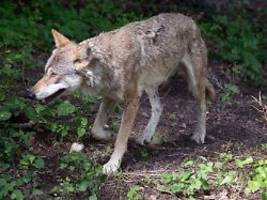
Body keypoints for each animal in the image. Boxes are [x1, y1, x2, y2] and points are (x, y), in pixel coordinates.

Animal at [28, 13, 216, 174]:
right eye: (45, 73)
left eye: (54, 74)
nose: (29, 94)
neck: (108, 63)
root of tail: (190, 19)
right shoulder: (110, 97)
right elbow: (96, 130)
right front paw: (109, 135)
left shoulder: (132, 100)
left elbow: (121, 137)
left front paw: (113, 164)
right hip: (149, 85)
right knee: (159, 107)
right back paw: (146, 135)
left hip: (193, 84)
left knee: (203, 104)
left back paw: (199, 134)